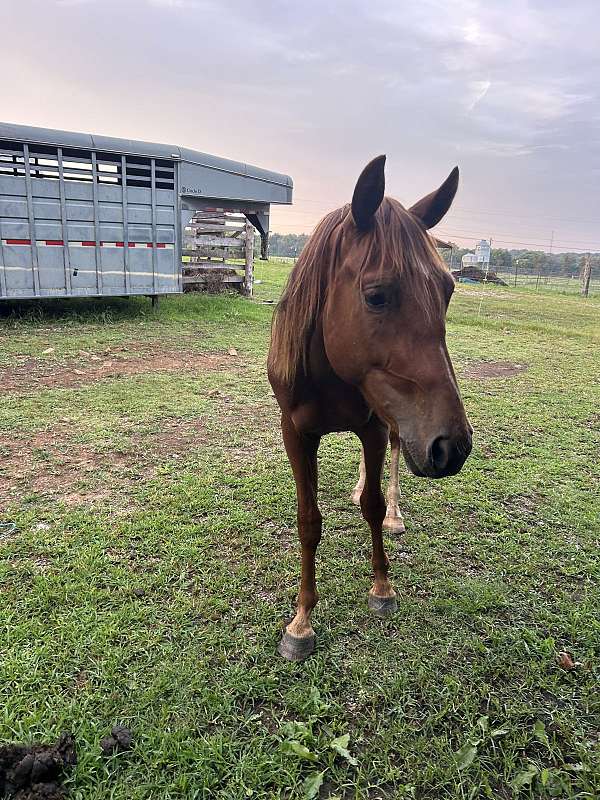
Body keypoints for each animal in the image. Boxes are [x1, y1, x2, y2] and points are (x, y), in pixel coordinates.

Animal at [267, 156, 473, 660]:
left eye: (448, 291)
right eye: (377, 295)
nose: (453, 447)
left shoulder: (376, 428)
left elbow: (374, 506)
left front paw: (382, 588)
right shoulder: (295, 434)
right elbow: (308, 522)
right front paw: (301, 622)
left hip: (396, 423)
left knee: (398, 456)